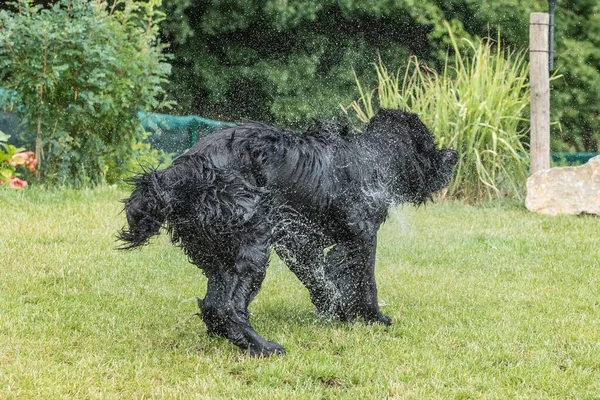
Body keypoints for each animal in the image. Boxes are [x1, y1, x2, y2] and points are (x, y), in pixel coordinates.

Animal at [119, 108, 458, 354]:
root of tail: (184, 170)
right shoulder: (360, 237)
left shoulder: (297, 242)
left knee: (214, 303)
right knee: (229, 305)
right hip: (252, 242)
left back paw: (228, 336)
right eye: (431, 145)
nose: (454, 155)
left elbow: (319, 278)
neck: (370, 157)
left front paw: (334, 309)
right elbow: (364, 281)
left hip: (218, 249)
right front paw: (373, 318)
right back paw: (262, 347)